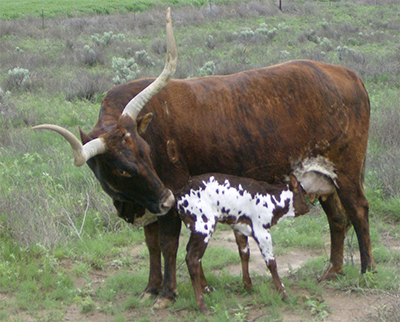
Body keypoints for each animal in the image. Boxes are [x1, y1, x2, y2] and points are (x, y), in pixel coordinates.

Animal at [176, 174, 310, 312]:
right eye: (304, 193)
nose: (308, 207)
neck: (273, 199)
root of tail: (181, 192)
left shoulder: (239, 228)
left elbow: (244, 254)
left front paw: (248, 285)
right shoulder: (262, 231)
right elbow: (271, 263)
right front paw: (284, 294)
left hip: (196, 229)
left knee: (196, 257)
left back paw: (206, 289)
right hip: (204, 227)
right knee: (192, 258)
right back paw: (202, 305)